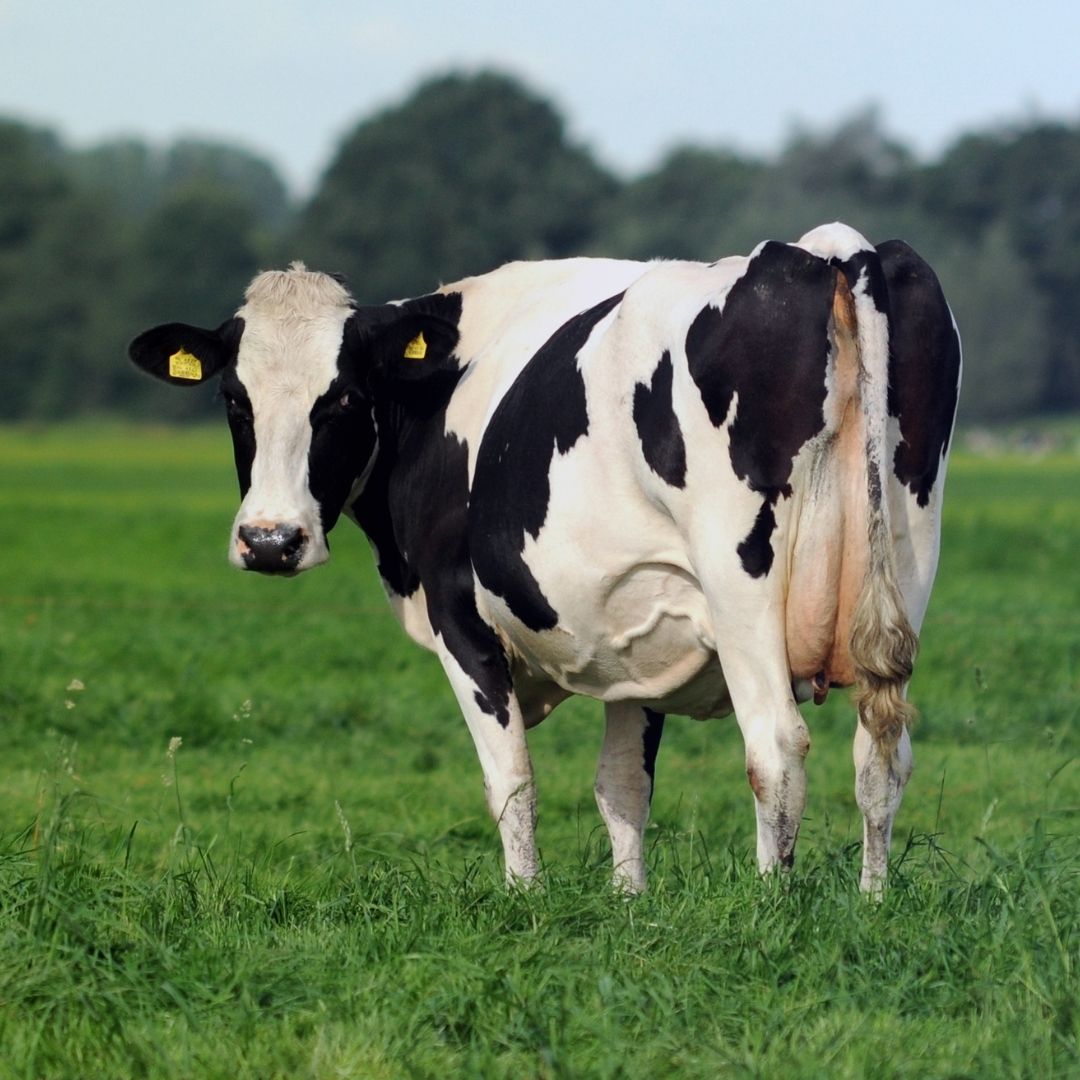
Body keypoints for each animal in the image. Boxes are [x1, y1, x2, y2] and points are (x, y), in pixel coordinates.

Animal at [129, 222, 960, 895]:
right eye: (235, 401)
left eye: (341, 401)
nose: (271, 541)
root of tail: (827, 251)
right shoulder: (639, 628)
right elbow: (622, 785)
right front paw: (630, 905)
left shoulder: (460, 617)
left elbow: (510, 777)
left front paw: (525, 898)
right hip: (908, 558)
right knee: (882, 752)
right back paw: (871, 904)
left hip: (742, 583)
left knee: (777, 749)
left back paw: (770, 908)